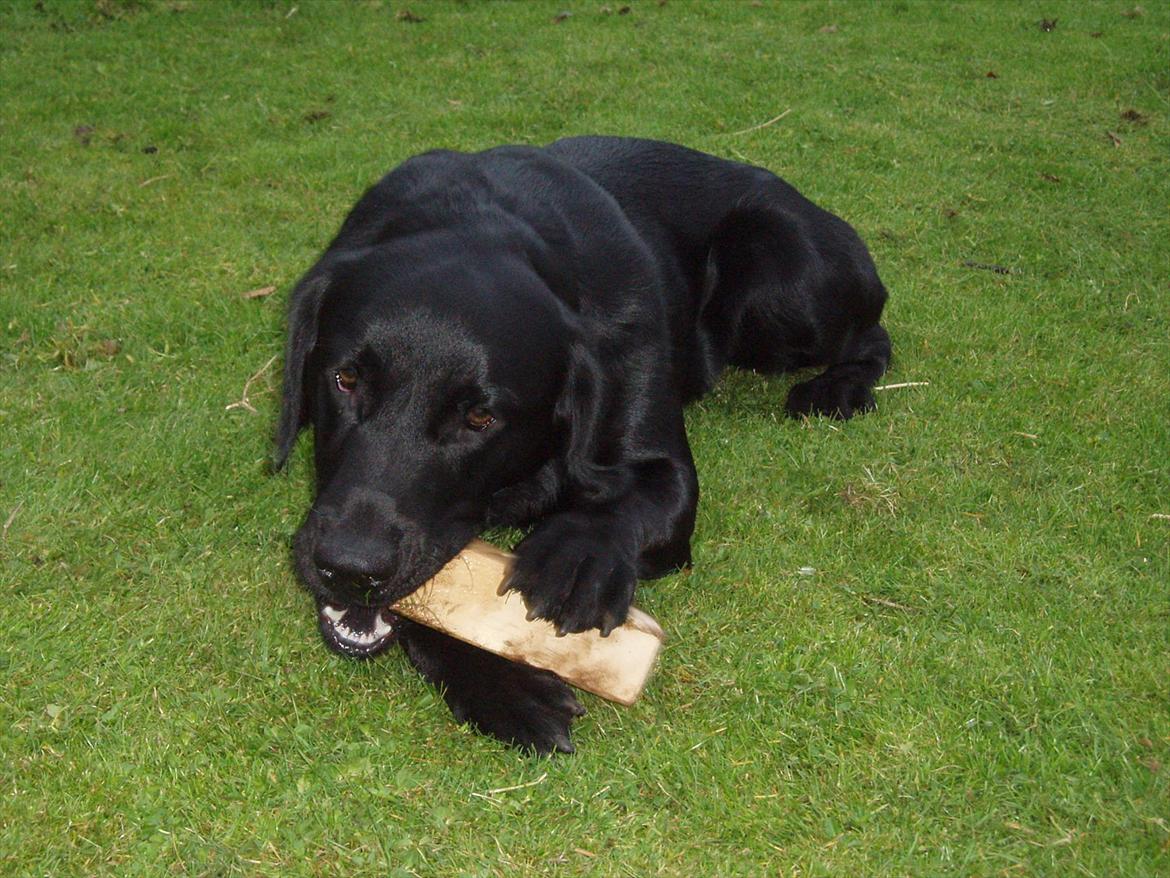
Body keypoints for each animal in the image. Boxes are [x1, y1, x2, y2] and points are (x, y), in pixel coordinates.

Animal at [278, 137, 889, 758]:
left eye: (480, 417)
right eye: (345, 380)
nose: (350, 567)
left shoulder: (662, 465)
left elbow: (621, 505)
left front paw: (575, 557)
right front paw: (503, 686)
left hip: (782, 279)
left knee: (872, 333)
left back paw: (838, 389)